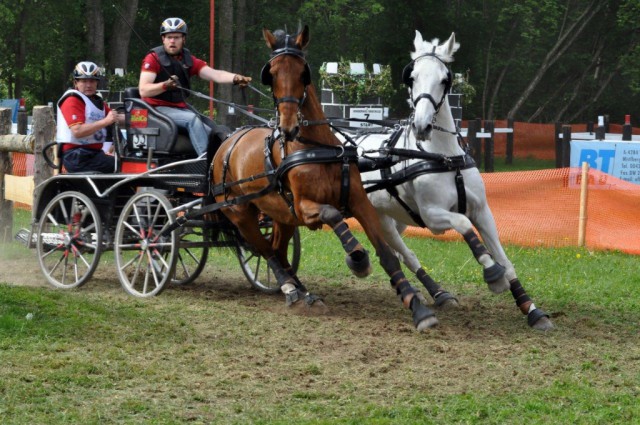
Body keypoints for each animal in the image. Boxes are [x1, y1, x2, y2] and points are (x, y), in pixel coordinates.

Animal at [212, 25, 438, 332]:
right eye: (271, 74)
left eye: (302, 73)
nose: (288, 126)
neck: (314, 146)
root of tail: (226, 142)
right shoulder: (304, 208)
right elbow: (333, 214)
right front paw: (358, 257)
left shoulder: (358, 202)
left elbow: (388, 254)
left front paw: (417, 307)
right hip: (240, 213)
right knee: (266, 251)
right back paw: (291, 290)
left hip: (281, 216)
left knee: (278, 251)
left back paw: (304, 294)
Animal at [340, 32, 556, 332]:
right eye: (412, 77)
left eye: (445, 79)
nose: (421, 126)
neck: (444, 157)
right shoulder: (433, 216)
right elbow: (464, 226)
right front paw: (492, 274)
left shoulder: (482, 211)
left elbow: (506, 259)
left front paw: (531, 309)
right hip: (377, 216)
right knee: (403, 254)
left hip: (394, 218)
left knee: (400, 253)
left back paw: (436, 293)